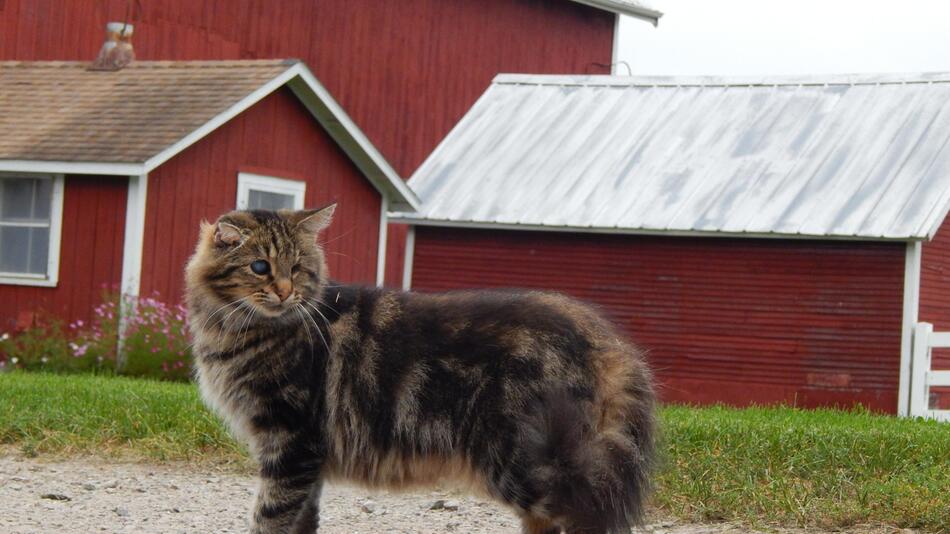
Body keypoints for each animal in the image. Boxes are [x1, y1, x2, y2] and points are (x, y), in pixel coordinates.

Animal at [187, 206, 660, 534]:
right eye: (260, 267)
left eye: (297, 269)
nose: (286, 292)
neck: (235, 331)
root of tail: (605, 338)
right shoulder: (308, 460)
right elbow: (302, 522)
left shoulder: (290, 444)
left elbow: (268, 517)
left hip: (526, 461)